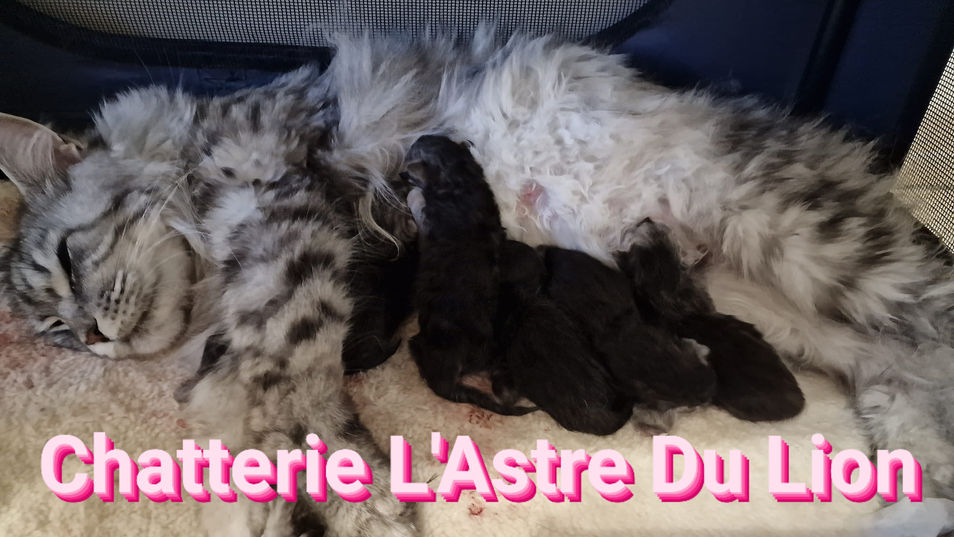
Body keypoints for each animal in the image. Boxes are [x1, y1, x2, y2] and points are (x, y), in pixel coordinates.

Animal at [0, 27, 951, 532]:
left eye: (69, 263)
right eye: (52, 329)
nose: (90, 334)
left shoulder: (286, 217)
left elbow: (286, 370)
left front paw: (325, 486)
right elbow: (254, 384)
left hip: (808, 239)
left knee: (929, 329)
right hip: (777, 309)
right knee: (894, 369)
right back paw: (921, 482)